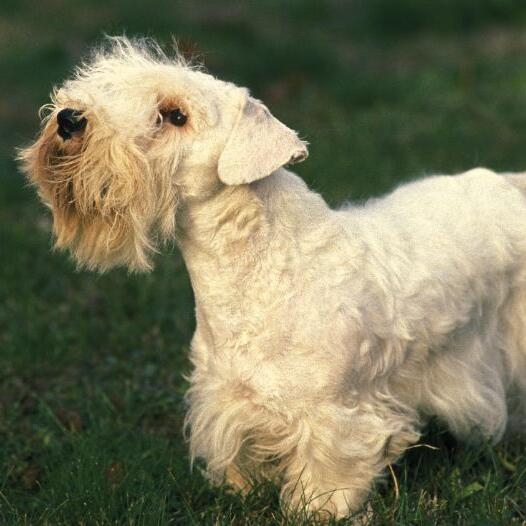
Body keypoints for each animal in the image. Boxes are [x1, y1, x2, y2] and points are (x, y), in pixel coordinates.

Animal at [18, 39, 526, 520]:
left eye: (175, 115)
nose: (69, 119)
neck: (256, 271)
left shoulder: (336, 414)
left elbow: (328, 473)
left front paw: (318, 510)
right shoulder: (229, 398)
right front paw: (242, 492)